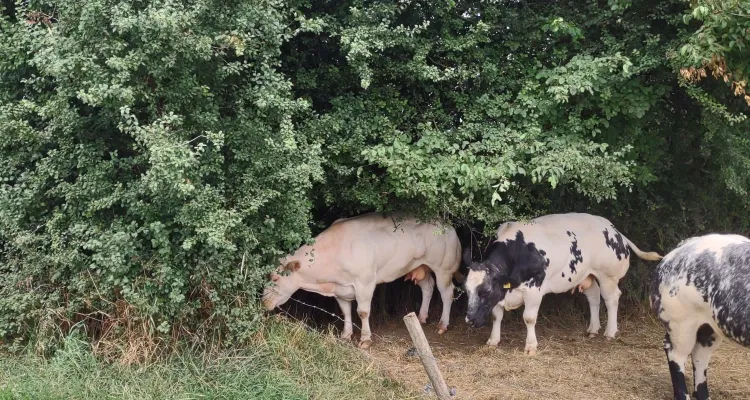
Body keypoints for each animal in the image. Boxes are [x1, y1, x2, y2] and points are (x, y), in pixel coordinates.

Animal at [464, 212, 664, 356]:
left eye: (485, 291)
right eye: (466, 291)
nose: (469, 320)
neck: (520, 251)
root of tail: (613, 229)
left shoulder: (534, 289)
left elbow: (529, 318)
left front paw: (530, 346)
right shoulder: (501, 292)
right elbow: (497, 315)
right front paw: (493, 341)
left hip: (608, 276)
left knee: (611, 299)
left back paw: (610, 332)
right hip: (587, 275)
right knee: (594, 297)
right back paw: (593, 329)